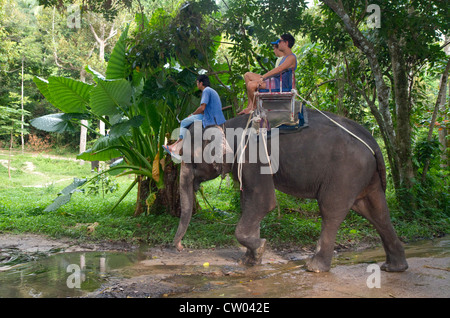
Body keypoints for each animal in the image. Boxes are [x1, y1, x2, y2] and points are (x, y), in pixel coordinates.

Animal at [171, 110, 408, 274]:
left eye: (190, 160)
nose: (181, 247)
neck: (225, 125)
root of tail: (371, 140)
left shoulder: (255, 159)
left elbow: (263, 202)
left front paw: (261, 247)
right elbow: (249, 203)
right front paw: (250, 260)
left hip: (345, 173)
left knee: (331, 210)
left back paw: (314, 267)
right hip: (366, 176)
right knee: (376, 211)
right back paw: (394, 267)